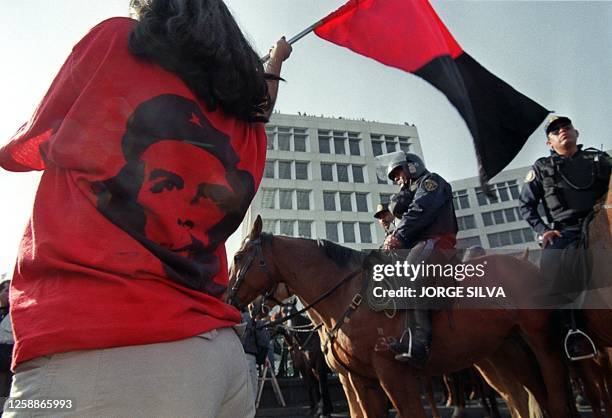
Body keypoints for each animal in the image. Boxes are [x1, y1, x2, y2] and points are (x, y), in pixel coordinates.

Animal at [228, 216, 572, 418]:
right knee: (526, 399)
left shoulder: (393, 374)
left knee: (554, 397)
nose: (230, 300)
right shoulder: (359, 379)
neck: (344, 294)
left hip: (542, 342)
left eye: (239, 256)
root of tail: (526, 264)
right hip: (503, 352)